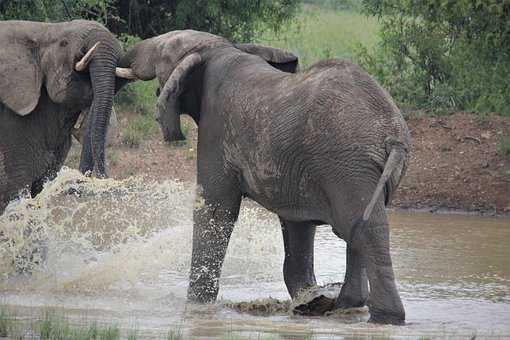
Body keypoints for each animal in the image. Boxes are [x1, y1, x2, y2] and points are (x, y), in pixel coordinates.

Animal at [119, 30, 410, 326]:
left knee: (364, 228)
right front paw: (308, 301)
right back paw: (344, 307)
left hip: (348, 164)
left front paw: (196, 307)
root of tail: (393, 134)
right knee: (356, 227)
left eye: (162, 54)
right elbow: (298, 222)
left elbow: (215, 210)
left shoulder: (216, 127)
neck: (220, 48)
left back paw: (384, 318)